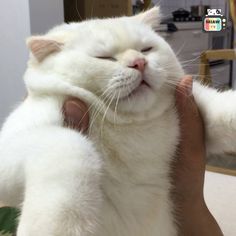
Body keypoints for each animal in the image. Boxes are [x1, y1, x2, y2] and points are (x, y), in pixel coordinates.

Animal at [0, 6, 236, 235]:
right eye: (104, 57)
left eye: (146, 49)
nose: (139, 63)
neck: (131, 125)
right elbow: (70, 144)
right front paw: (59, 225)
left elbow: (223, 108)